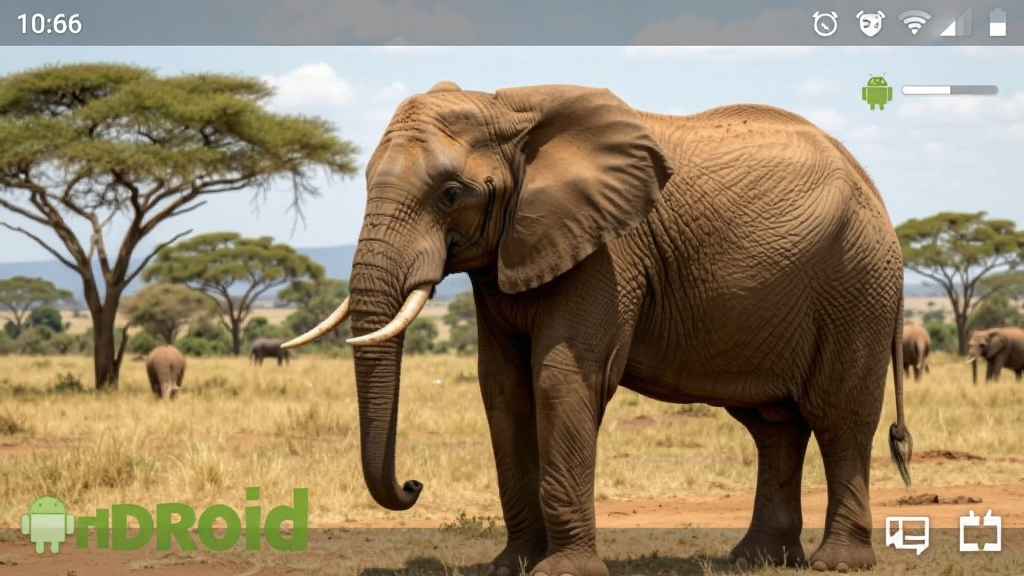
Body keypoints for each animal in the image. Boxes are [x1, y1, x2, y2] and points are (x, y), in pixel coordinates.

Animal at [281, 82, 913, 575]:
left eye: (451, 193)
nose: (413, 485)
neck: (509, 111)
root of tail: (873, 185)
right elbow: (504, 389)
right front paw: (511, 566)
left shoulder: (609, 252)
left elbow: (562, 378)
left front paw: (562, 571)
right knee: (773, 426)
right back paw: (757, 560)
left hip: (857, 282)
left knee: (839, 416)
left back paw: (837, 563)